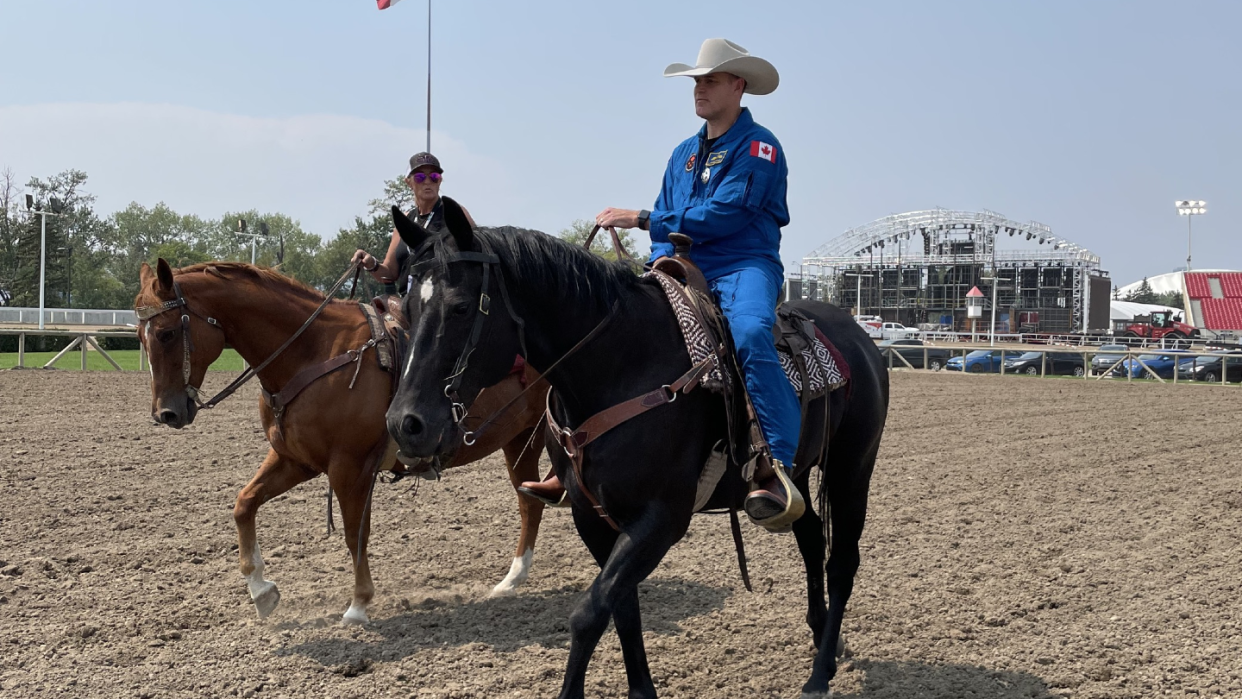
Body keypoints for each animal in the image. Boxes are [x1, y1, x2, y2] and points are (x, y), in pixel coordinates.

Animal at [132, 258, 553, 623]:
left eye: (167, 333)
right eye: (139, 336)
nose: (165, 413)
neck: (313, 352)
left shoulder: (350, 467)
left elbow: (355, 533)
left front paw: (358, 605)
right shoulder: (294, 460)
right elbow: (244, 504)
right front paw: (261, 590)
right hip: (521, 439)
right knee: (530, 502)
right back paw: (511, 580)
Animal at [385, 198, 884, 699]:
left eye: (461, 307)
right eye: (405, 307)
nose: (405, 423)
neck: (621, 365)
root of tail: (858, 336)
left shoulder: (661, 519)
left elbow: (589, 613)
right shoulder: (592, 517)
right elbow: (622, 608)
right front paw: (642, 691)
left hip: (852, 469)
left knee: (842, 562)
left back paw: (819, 675)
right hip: (797, 475)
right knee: (811, 536)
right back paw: (826, 642)